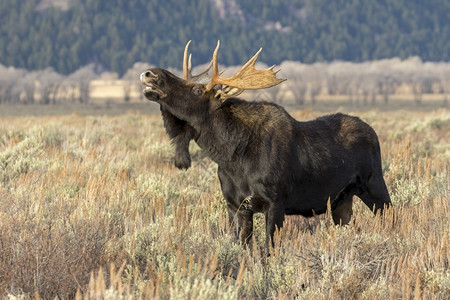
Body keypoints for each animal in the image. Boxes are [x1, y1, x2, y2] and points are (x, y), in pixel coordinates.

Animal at [141, 41, 390, 250]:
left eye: (197, 90)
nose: (150, 73)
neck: (231, 156)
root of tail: (372, 131)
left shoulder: (275, 203)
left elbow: (268, 249)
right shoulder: (235, 206)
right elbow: (243, 246)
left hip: (375, 186)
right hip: (341, 202)